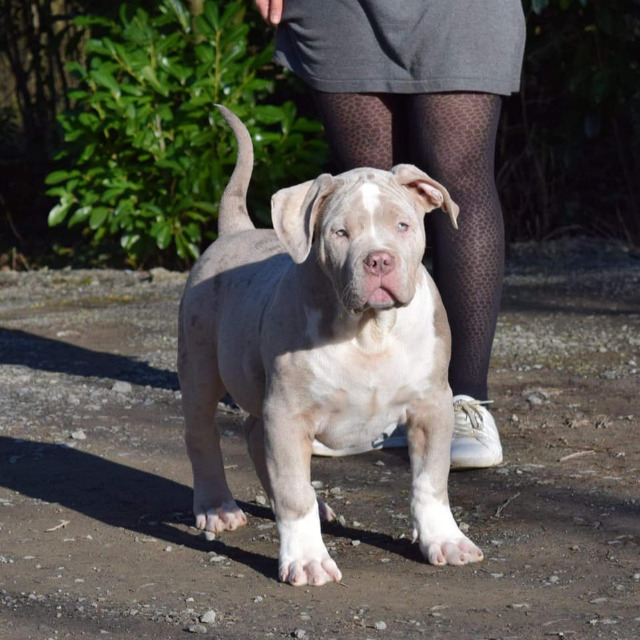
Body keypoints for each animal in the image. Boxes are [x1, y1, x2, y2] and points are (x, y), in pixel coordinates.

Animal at [178, 106, 482, 584]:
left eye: (403, 225)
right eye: (340, 233)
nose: (379, 260)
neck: (369, 329)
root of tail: (235, 232)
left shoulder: (432, 405)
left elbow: (431, 481)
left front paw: (445, 539)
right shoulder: (288, 411)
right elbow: (292, 493)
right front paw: (306, 559)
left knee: (254, 437)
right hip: (199, 368)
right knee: (203, 434)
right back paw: (217, 508)